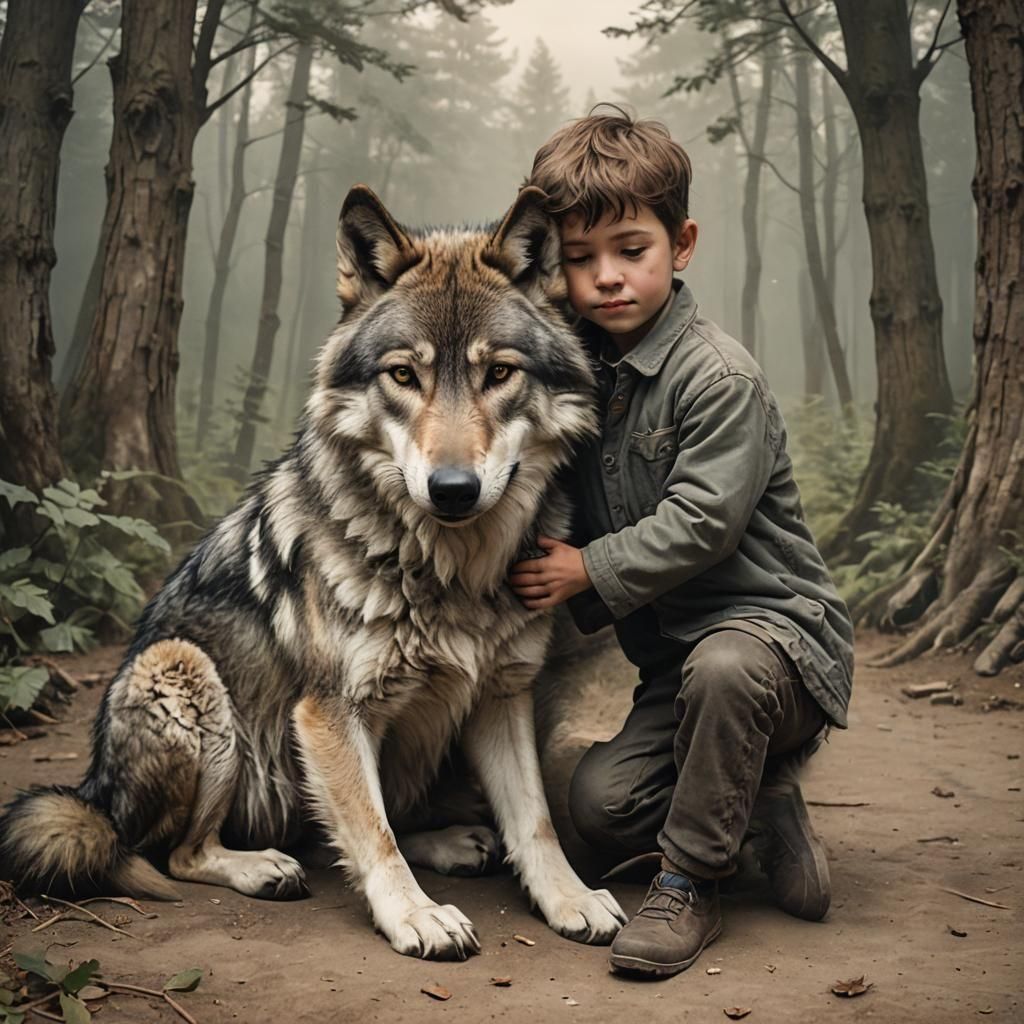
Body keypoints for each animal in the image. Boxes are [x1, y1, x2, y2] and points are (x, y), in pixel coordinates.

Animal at [0, 185, 627, 959]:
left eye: (499, 373)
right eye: (403, 375)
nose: (452, 489)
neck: (445, 571)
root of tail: (95, 794)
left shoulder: (502, 695)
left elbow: (533, 822)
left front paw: (569, 898)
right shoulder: (330, 713)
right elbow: (373, 833)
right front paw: (416, 916)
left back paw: (451, 841)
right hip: (184, 674)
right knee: (179, 853)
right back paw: (263, 867)